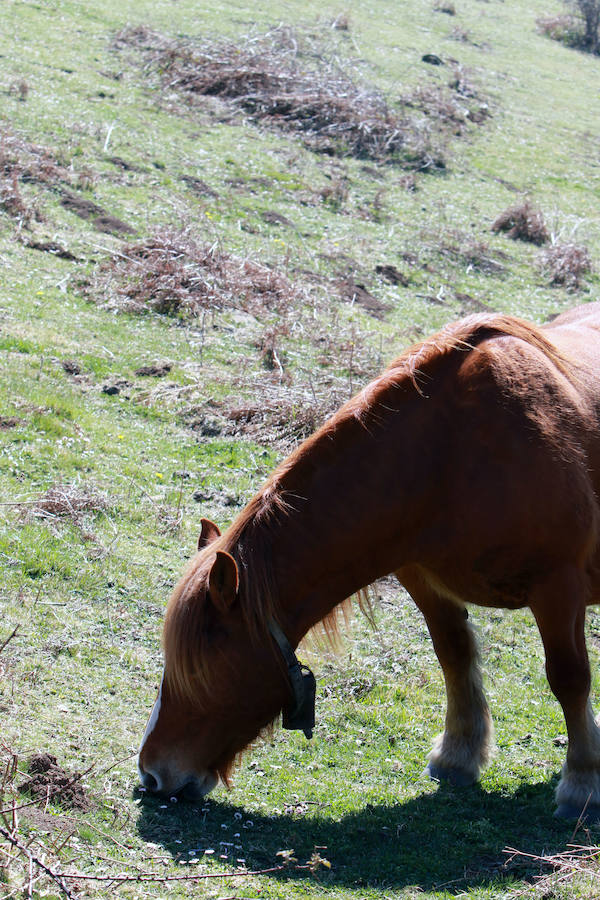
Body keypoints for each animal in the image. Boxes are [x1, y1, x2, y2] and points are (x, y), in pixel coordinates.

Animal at [141, 304, 600, 824]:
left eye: (198, 672)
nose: (151, 774)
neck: (448, 456)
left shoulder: (558, 588)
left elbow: (569, 678)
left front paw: (582, 786)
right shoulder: (422, 578)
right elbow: (455, 656)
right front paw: (458, 757)